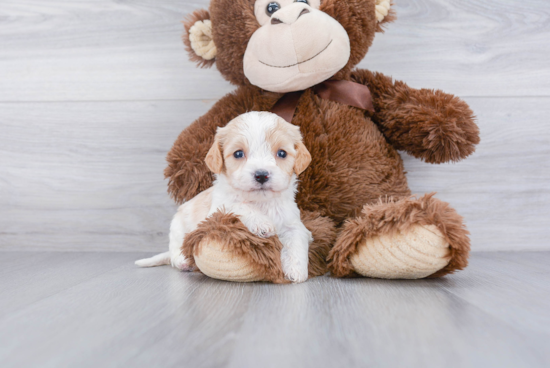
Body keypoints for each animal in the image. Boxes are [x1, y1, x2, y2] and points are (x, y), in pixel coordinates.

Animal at [135, 110, 312, 284]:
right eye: (238, 153)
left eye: (282, 153)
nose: (261, 175)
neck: (260, 202)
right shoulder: (218, 210)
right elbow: (238, 205)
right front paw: (261, 223)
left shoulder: (292, 221)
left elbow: (296, 239)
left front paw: (296, 270)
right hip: (178, 228)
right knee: (175, 252)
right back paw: (183, 261)